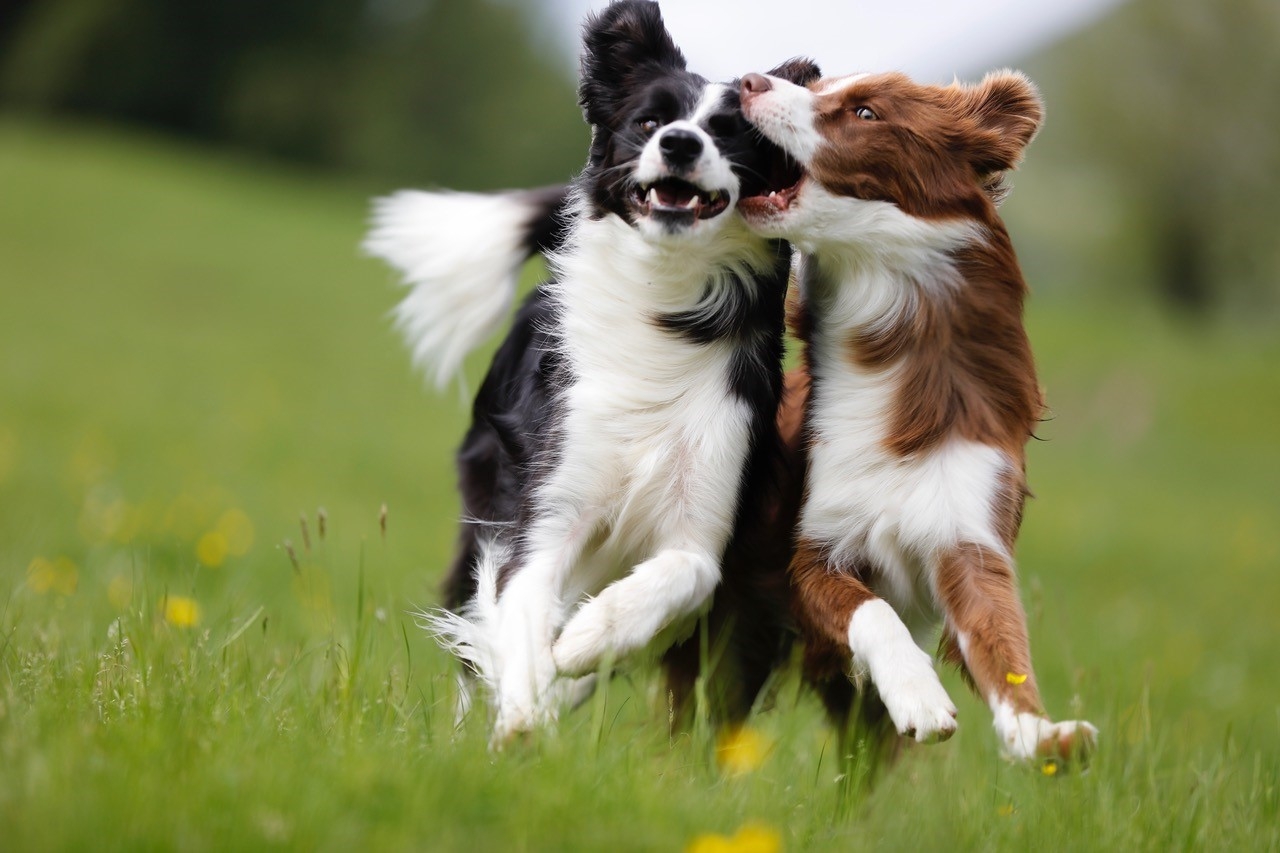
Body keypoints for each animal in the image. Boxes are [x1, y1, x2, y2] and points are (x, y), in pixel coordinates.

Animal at [366, 0, 814, 742]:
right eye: (649, 123)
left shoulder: (707, 520)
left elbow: (680, 577)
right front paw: (523, 706)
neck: (664, 292)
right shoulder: (546, 506)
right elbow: (519, 603)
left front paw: (581, 643)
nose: (681, 145)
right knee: (471, 629)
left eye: (729, 134)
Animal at [742, 64, 1100, 758]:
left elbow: (1002, 645)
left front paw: (1039, 734)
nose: (748, 81)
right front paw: (920, 694)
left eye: (865, 112)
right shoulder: (812, 549)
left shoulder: (968, 535)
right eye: (819, 84)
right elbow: (874, 611)